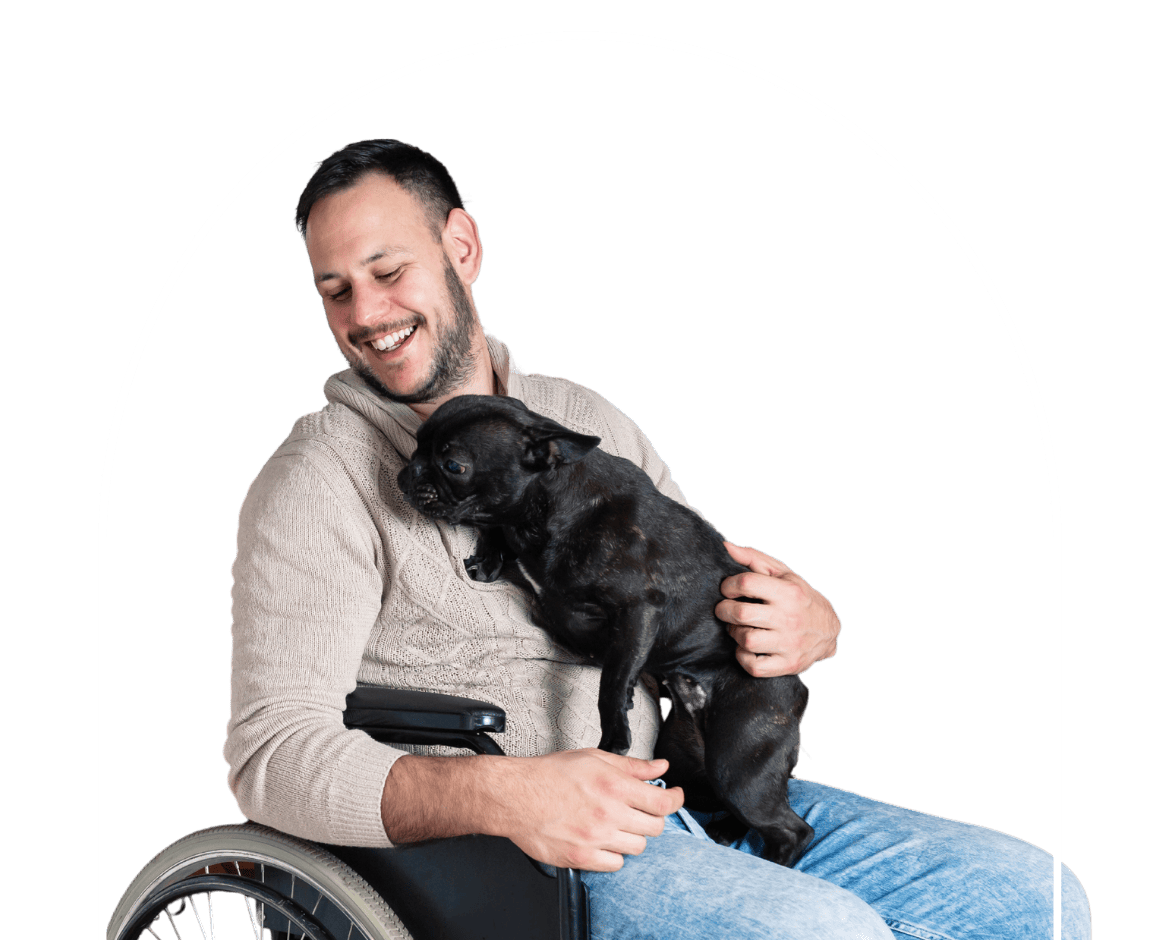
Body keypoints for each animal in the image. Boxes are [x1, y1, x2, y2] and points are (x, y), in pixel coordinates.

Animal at [399, 392, 816, 858]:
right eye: (416, 443)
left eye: (454, 465)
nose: (406, 472)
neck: (549, 503)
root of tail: (798, 688)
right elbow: (494, 530)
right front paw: (489, 558)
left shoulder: (639, 610)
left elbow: (612, 683)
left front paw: (614, 740)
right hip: (690, 761)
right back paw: (727, 829)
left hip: (738, 762)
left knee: (793, 828)